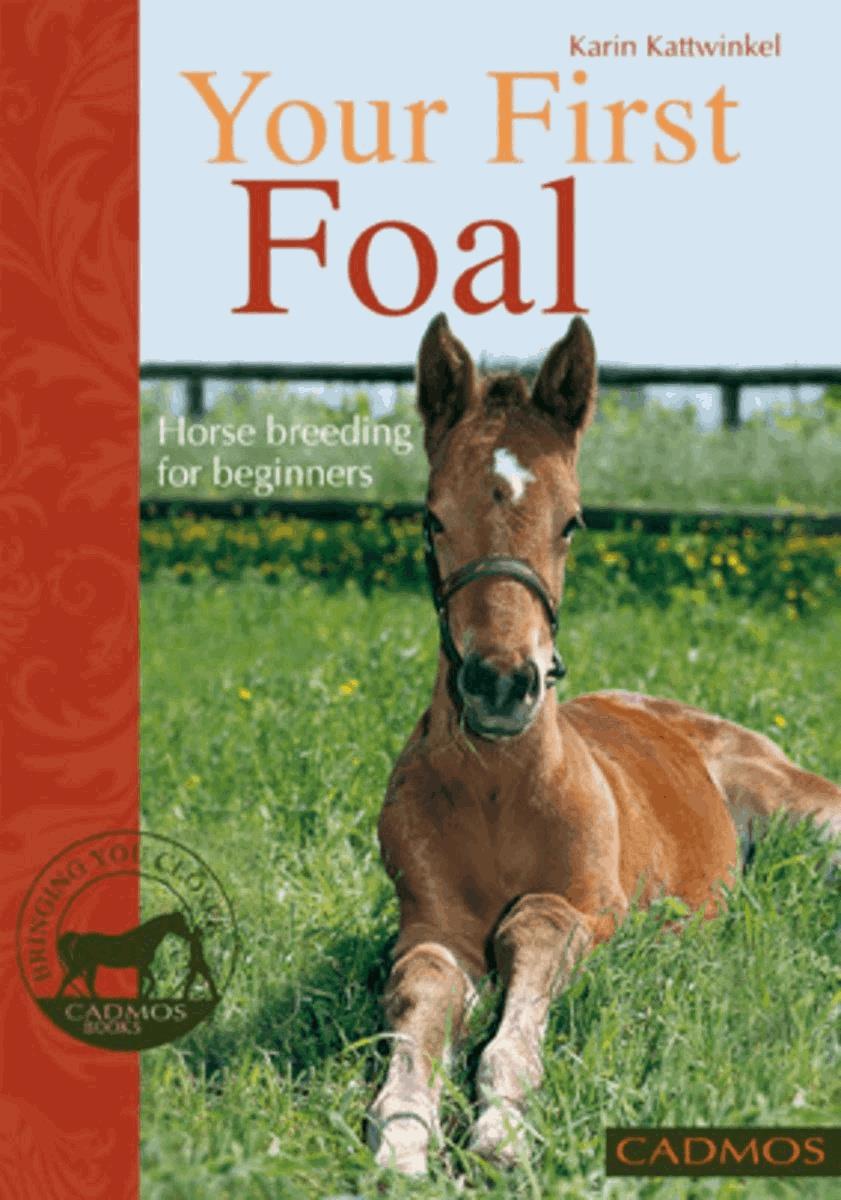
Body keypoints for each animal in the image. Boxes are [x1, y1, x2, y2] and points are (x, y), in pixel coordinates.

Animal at [56, 910, 191, 999]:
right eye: (179, 923)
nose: (190, 935)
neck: (146, 938)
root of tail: (79, 937)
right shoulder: (141, 966)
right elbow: (150, 982)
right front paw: (144, 997)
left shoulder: (142, 968)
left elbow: (147, 983)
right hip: (81, 964)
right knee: (69, 980)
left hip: (91, 966)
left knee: (88, 982)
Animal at [367, 314, 841, 1175]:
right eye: (431, 517)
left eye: (572, 521)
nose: (499, 685)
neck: (497, 789)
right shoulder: (428, 924)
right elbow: (423, 992)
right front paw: (402, 1137)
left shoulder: (587, 908)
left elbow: (531, 938)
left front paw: (500, 1128)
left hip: (813, 822)